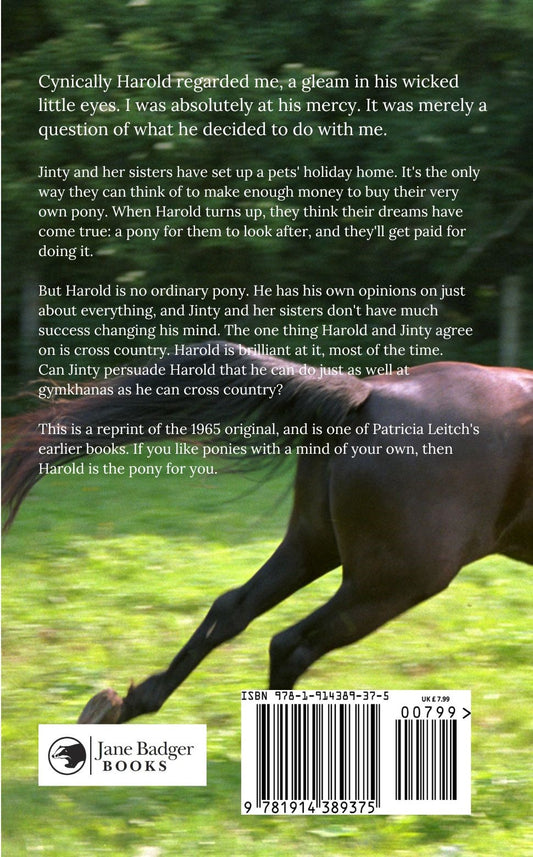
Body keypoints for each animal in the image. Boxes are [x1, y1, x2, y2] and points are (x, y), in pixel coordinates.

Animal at [3, 341, 532, 724]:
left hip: (314, 545)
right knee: (291, 642)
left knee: (233, 609)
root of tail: (368, 396)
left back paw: (126, 706)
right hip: (396, 579)